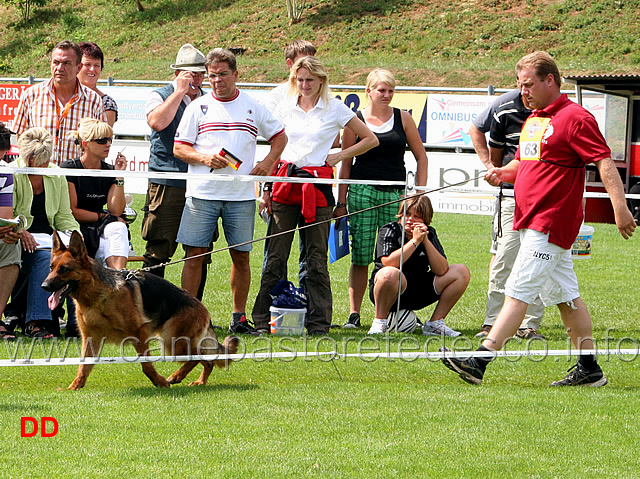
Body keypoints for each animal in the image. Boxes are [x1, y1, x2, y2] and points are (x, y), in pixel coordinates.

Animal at [41, 231, 239, 392]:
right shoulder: (90, 339)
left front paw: (159, 382)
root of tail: (203, 309)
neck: (97, 296)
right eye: (51, 268)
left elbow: (146, 365)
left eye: (64, 269)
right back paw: (199, 381)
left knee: (200, 357)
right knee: (208, 359)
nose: (44, 286)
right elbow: (83, 366)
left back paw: (177, 376)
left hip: (172, 341)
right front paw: (74, 387)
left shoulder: (139, 334)